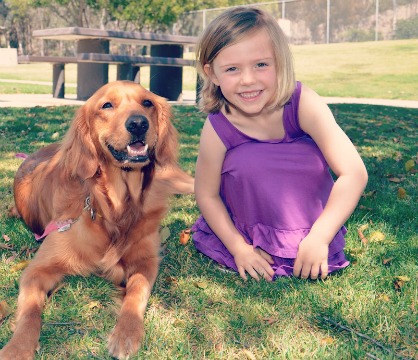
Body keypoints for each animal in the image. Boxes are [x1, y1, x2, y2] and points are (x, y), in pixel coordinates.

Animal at [0, 81, 194, 360]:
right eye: (107, 105)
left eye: (147, 103)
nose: (139, 123)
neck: (114, 208)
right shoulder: (37, 269)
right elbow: (29, 313)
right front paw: (18, 347)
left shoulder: (147, 260)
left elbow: (137, 290)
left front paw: (126, 333)